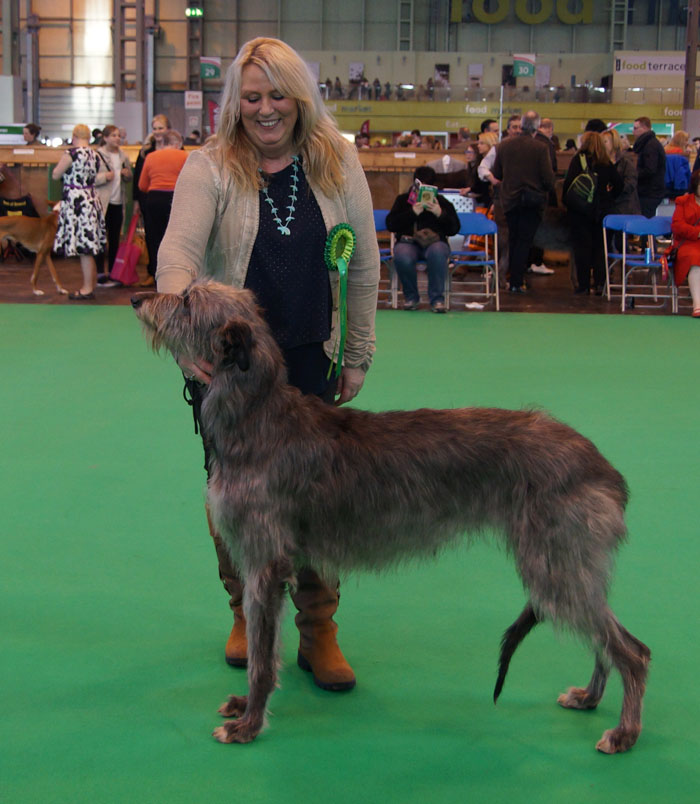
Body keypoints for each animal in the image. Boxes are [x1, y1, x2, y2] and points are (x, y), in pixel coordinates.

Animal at [133, 280, 652, 752]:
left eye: (187, 300)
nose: (138, 298)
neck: (258, 416)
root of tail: (604, 468)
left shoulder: (265, 565)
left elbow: (262, 659)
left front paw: (249, 724)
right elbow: (266, 648)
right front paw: (244, 708)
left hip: (556, 565)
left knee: (634, 651)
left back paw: (624, 732)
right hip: (567, 565)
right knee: (609, 639)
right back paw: (588, 697)